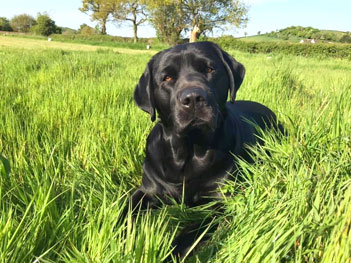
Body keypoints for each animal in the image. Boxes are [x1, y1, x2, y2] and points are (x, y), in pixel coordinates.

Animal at [131, 41, 282, 260]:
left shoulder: (220, 202)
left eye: (209, 69)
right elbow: (123, 213)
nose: (193, 97)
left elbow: (191, 230)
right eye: (167, 78)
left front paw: (168, 254)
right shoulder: (146, 191)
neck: (189, 151)